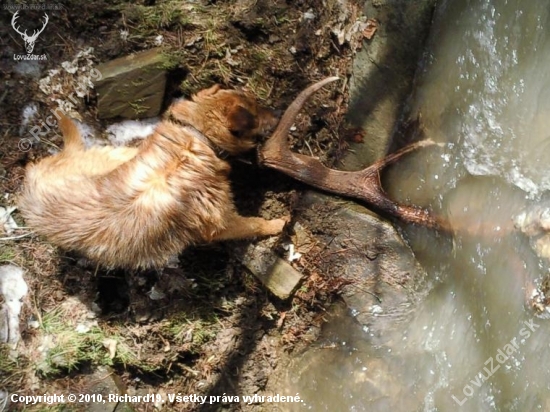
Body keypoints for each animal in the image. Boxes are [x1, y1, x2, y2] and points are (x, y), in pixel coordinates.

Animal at [20, 85, 288, 268]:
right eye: (256, 115)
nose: (279, 111)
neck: (197, 138)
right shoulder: (219, 221)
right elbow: (253, 223)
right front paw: (278, 223)